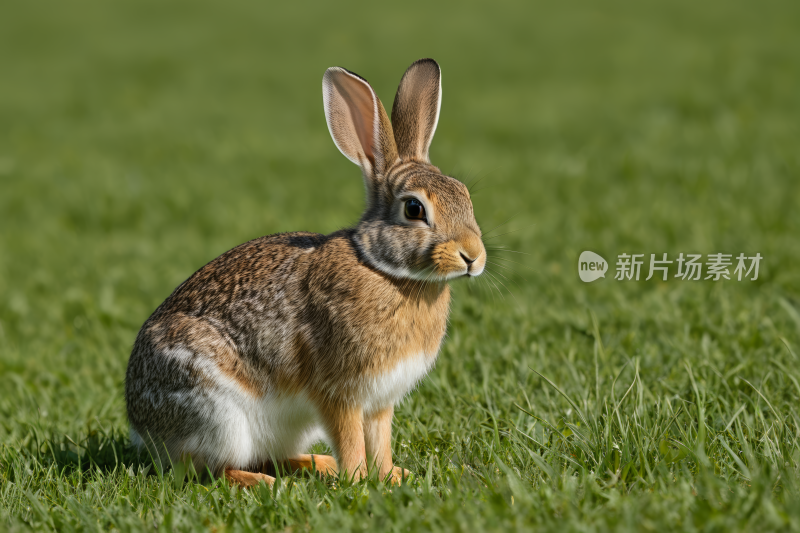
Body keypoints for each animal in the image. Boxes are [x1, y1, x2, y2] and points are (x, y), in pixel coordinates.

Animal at [125, 58, 488, 486]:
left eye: (463, 193)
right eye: (414, 209)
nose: (473, 256)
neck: (384, 270)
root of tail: (141, 426)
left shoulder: (380, 401)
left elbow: (380, 439)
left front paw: (391, 476)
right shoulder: (338, 391)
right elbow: (350, 438)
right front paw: (357, 479)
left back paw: (317, 465)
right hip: (217, 415)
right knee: (211, 468)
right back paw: (266, 484)